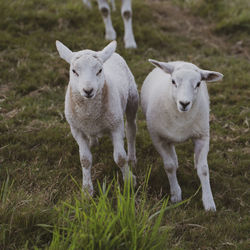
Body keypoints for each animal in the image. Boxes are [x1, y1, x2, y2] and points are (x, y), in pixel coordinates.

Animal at [55, 40, 139, 195]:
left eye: (99, 71)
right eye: (74, 71)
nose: (88, 90)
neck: (90, 112)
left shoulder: (116, 126)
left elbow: (120, 158)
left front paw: (129, 181)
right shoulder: (77, 130)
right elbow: (85, 160)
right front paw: (87, 190)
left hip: (132, 99)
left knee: (131, 130)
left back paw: (132, 158)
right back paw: (93, 142)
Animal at [142, 59, 224, 210]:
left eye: (198, 84)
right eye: (173, 81)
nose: (184, 103)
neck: (181, 119)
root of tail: (178, 61)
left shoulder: (202, 136)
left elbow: (204, 169)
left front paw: (209, 202)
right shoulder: (157, 138)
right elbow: (169, 166)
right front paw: (176, 195)